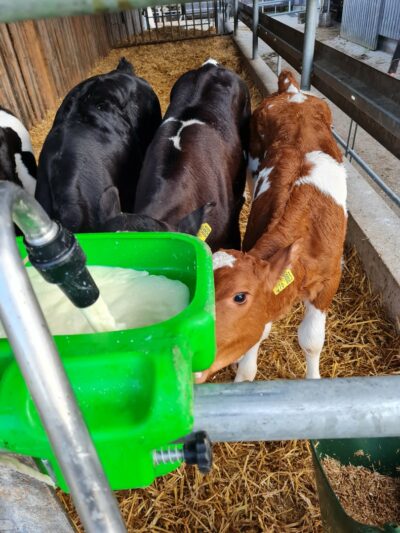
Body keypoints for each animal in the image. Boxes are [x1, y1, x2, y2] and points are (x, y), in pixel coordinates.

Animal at [196, 69, 346, 382]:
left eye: (239, 296)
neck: (306, 232)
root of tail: (291, 90)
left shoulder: (329, 280)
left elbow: (312, 340)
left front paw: (314, 379)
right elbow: (256, 341)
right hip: (252, 160)